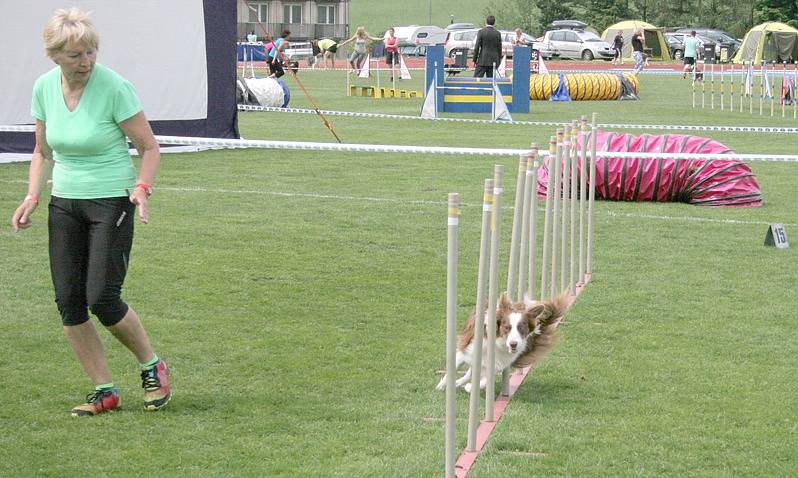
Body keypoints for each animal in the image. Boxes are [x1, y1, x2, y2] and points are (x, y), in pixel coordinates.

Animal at [438, 292, 568, 392]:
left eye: (521, 328)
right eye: (507, 327)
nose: (513, 344)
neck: (498, 343)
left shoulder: (498, 362)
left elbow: (485, 380)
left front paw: (469, 387)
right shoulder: (466, 349)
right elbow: (453, 368)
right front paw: (442, 385)